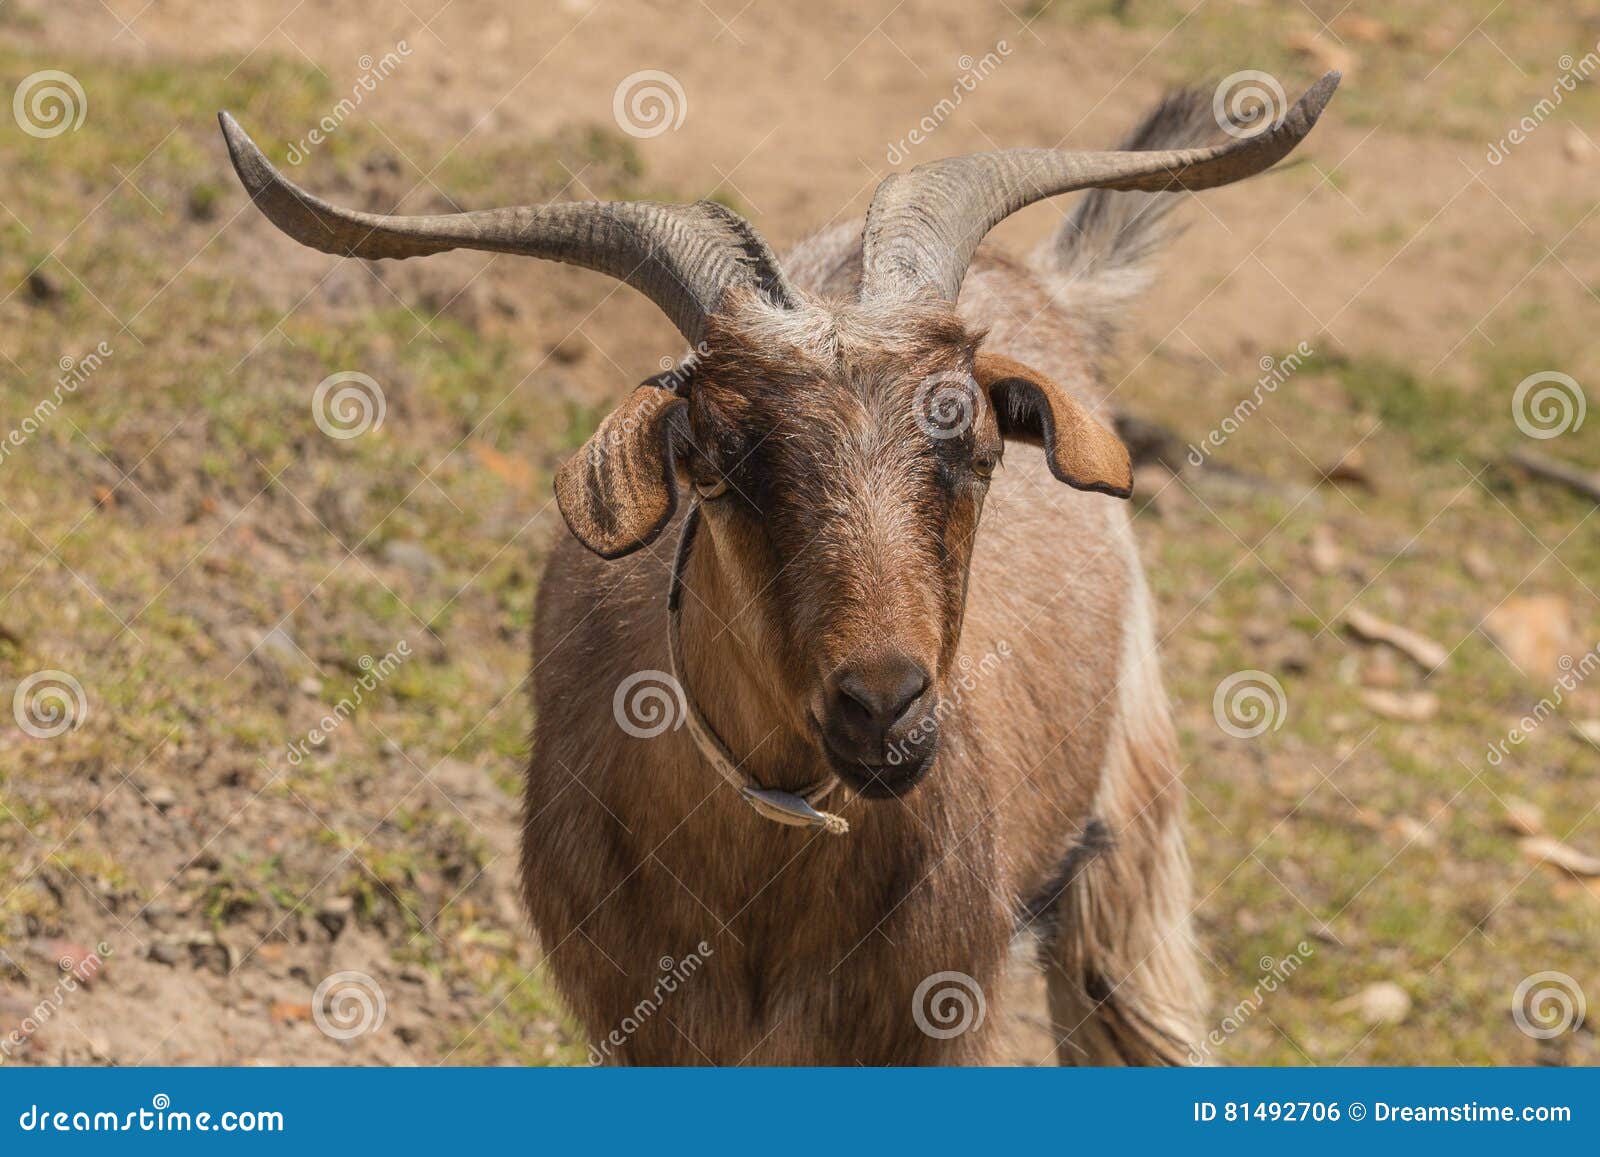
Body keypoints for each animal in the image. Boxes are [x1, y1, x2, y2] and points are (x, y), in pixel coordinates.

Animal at [220, 71, 1337, 1065]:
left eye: (979, 450)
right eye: (713, 465)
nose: (882, 707)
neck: (764, 894)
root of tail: (1046, 284)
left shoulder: (938, 1016)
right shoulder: (637, 1024)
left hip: (1126, 844)